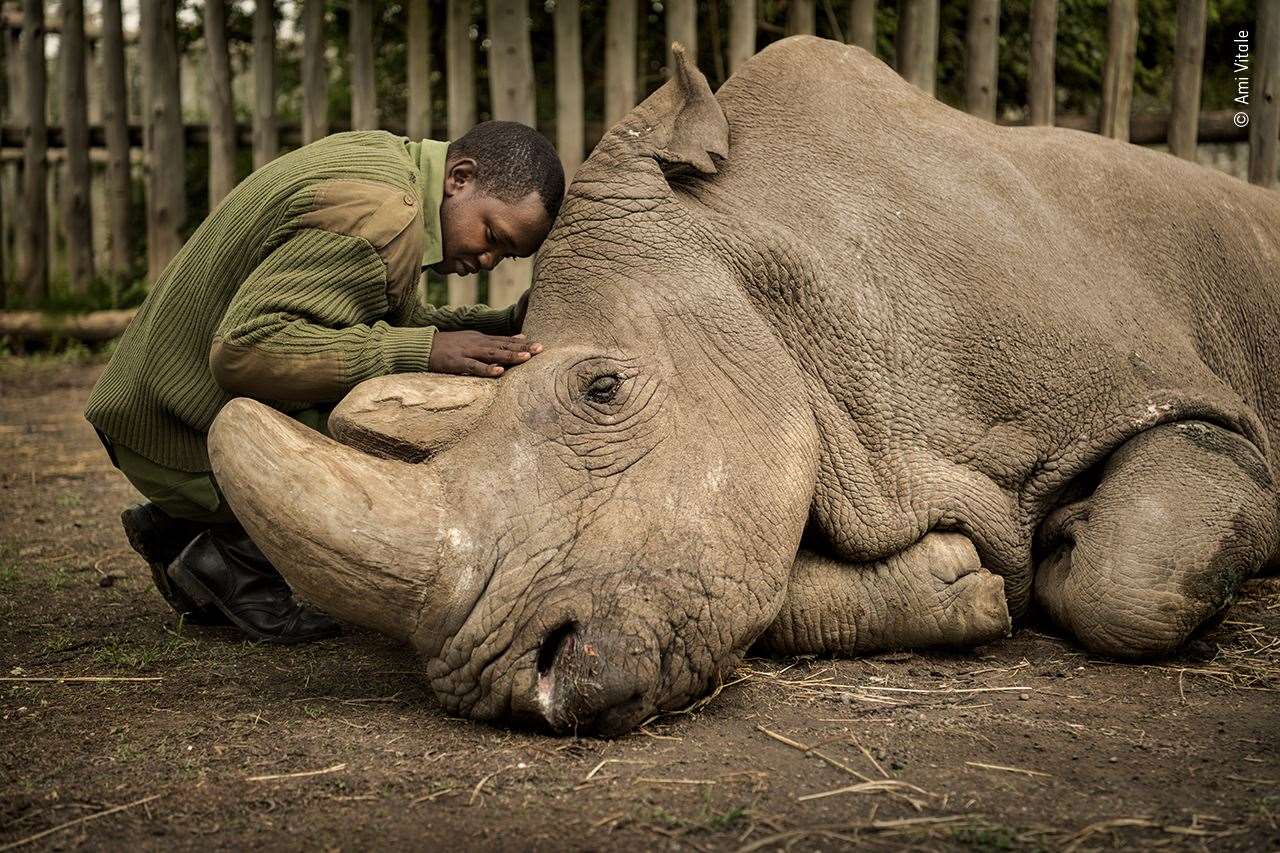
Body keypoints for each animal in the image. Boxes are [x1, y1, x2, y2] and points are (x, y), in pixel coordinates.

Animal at [209, 38, 1280, 732]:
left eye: (603, 389)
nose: (516, 683)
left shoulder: (1171, 395)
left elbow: (1129, 576)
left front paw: (1066, 548)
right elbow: (762, 585)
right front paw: (963, 583)